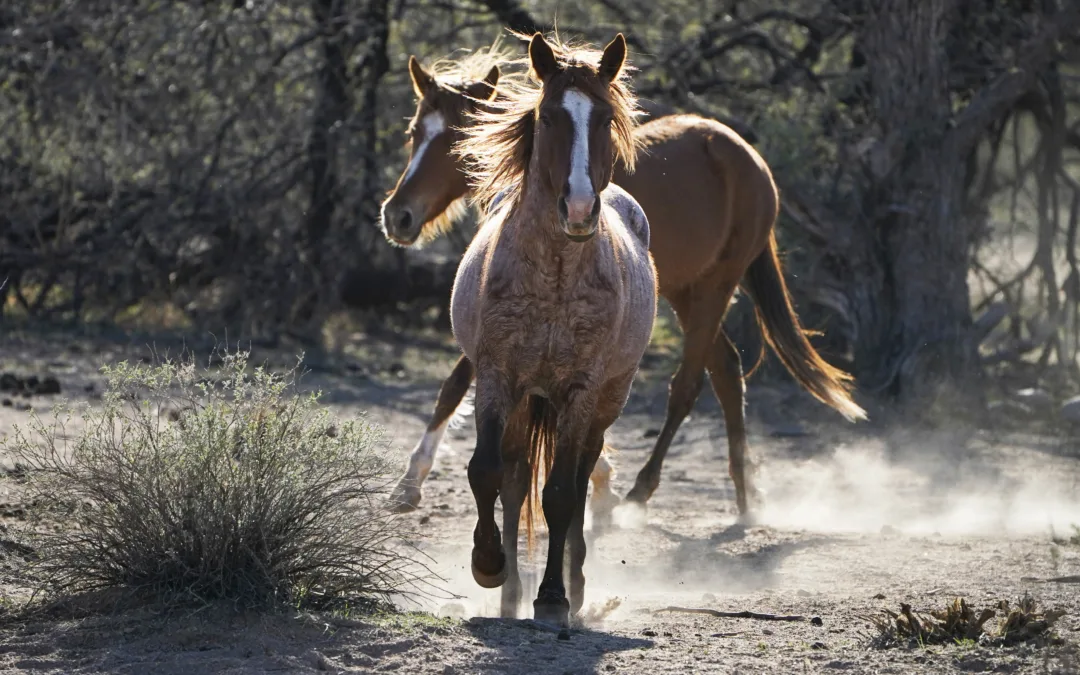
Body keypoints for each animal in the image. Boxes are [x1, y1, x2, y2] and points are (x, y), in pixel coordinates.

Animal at [380, 34, 867, 523]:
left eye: (457, 137)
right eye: (415, 132)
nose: (399, 216)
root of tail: (752, 161)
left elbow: (459, 383)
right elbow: (455, 387)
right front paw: (408, 484)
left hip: (714, 289)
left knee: (689, 384)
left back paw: (643, 491)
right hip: (687, 292)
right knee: (727, 371)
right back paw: (746, 495)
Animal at [449, 32, 656, 626]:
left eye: (605, 118)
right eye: (548, 117)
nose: (581, 208)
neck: (555, 277)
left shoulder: (580, 391)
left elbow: (563, 494)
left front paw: (554, 598)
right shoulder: (497, 377)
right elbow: (487, 472)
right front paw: (489, 566)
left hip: (603, 403)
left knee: (580, 481)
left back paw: (574, 588)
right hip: (525, 400)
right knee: (517, 479)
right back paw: (510, 594)